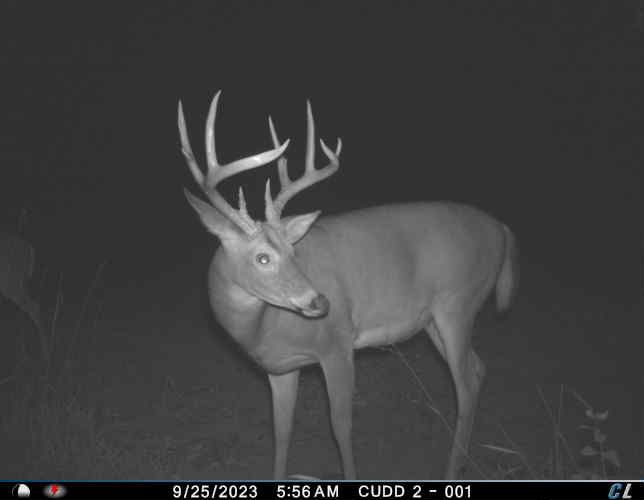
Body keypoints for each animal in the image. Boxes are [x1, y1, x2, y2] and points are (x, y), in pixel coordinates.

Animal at [178, 91, 519, 479]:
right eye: (262, 257)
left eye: (293, 250)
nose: (320, 302)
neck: (263, 328)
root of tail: (503, 230)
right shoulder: (280, 367)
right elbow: (281, 430)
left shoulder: (337, 344)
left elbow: (340, 425)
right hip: (434, 320)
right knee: (479, 368)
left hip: (458, 305)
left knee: (467, 383)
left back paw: (452, 470)